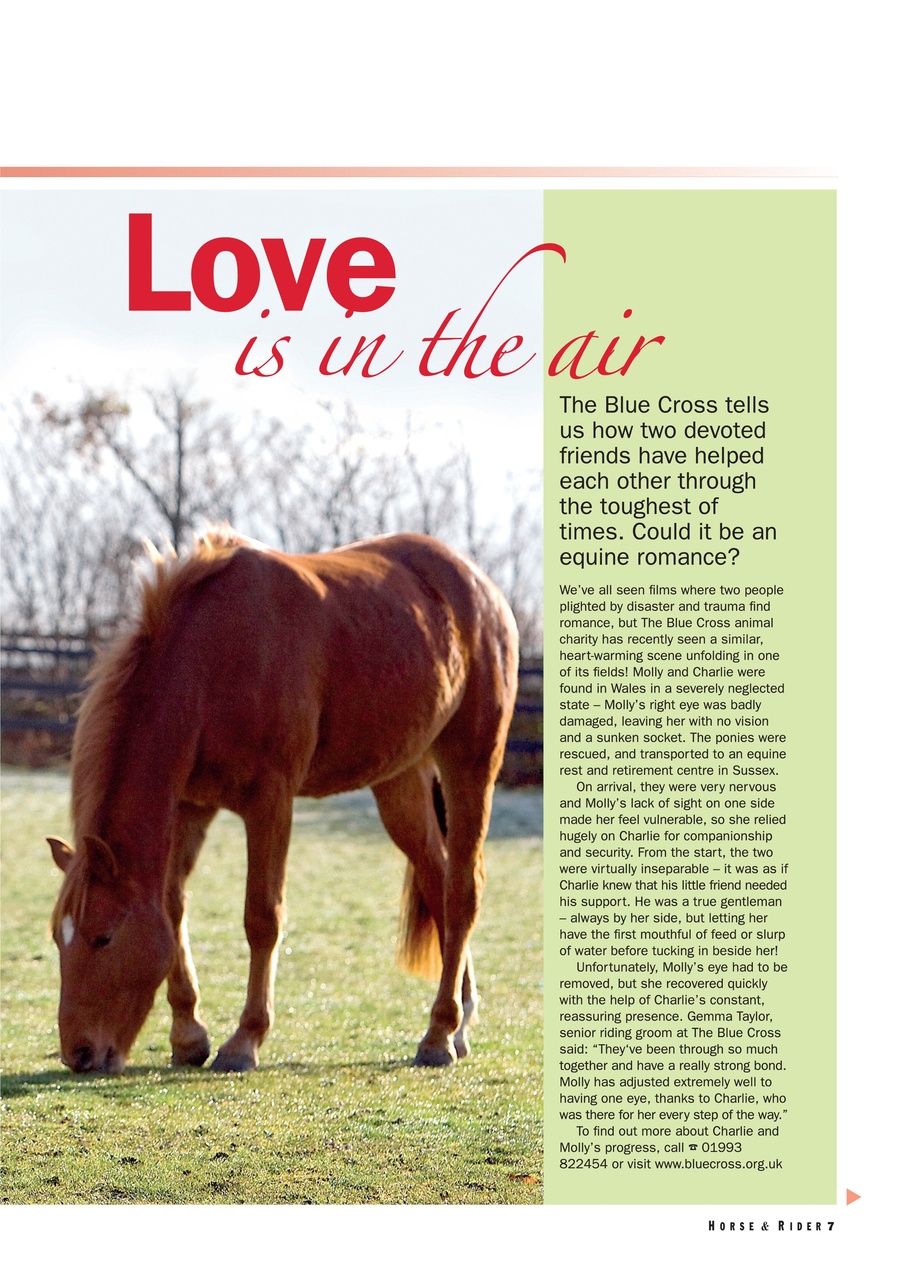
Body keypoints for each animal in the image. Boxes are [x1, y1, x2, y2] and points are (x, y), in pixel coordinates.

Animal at [48, 528, 518, 1074]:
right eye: (58, 937)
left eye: (103, 936)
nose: (79, 1053)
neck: (212, 658)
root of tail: (482, 590)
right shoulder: (190, 806)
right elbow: (172, 906)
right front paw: (189, 1035)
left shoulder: (270, 801)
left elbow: (262, 917)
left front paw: (244, 1039)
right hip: (399, 782)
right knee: (438, 881)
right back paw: (457, 1022)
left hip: (471, 764)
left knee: (462, 891)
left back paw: (439, 1034)